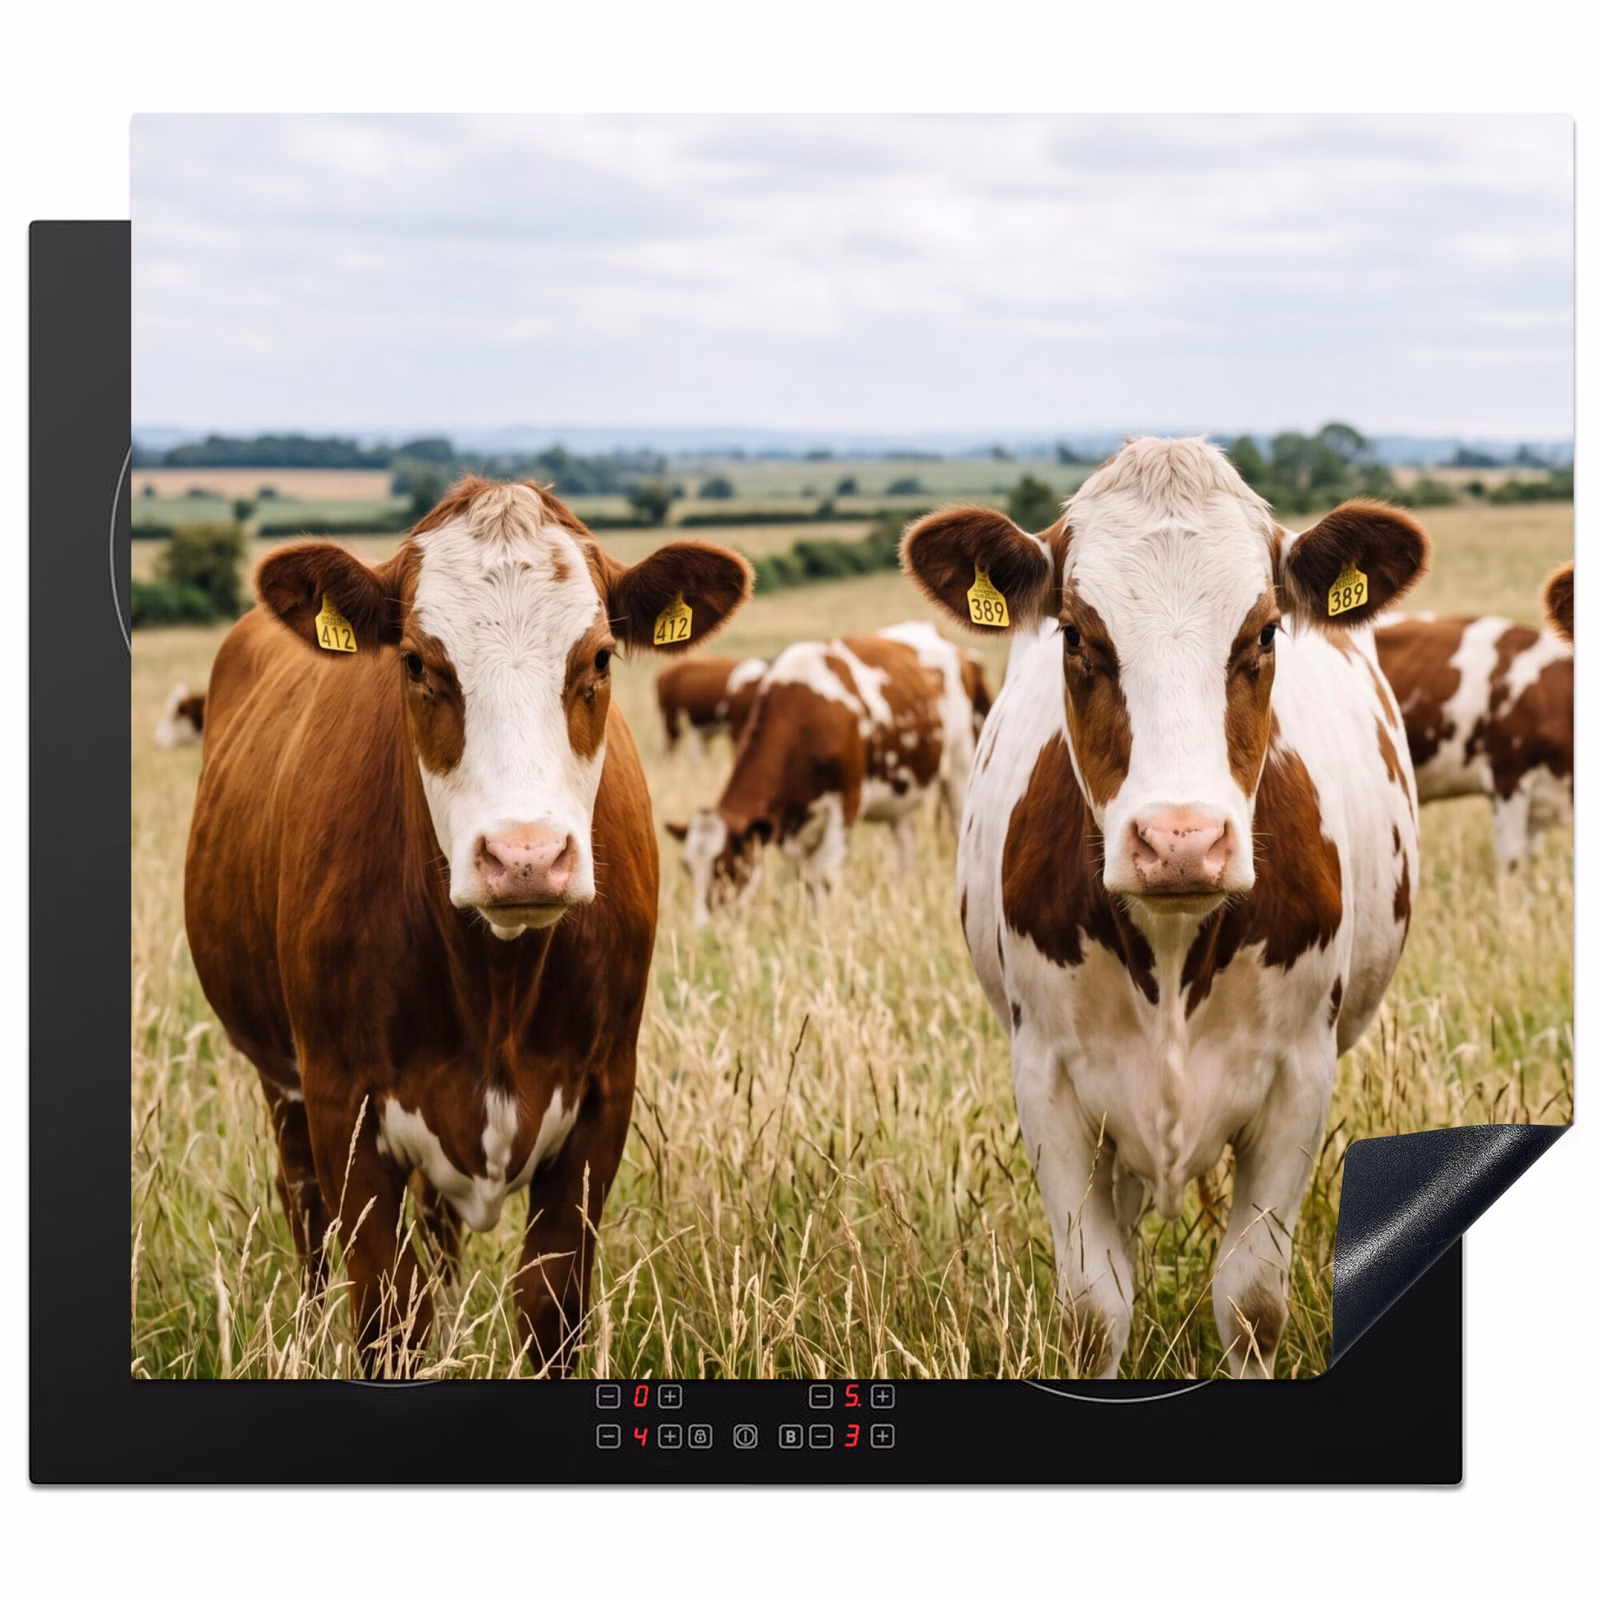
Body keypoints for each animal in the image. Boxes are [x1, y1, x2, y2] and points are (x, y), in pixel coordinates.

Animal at [183, 477, 751, 1373]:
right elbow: (386, 1311)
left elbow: (549, 1304)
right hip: (281, 1082)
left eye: (599, 658)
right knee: (306, 1216)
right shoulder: (341, 1102)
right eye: (417, 662)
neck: (495, 986)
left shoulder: (604, 1096)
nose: (525, 856)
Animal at [667, 621, 981, 926]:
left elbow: (824, 875)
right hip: (902, 793)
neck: (802, 717)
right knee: (905, 850)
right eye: (687, 867)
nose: (702, 930)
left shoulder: (847, 803)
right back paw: (902, 898)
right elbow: (808, 879)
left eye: (724, 866)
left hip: (959, 765)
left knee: (956, 830)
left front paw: (826, 927)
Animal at [902, 437, 1428, 1379]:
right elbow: (1093, 1310)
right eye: (1078, 634)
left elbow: (1252, 1303)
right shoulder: (1048, 1079)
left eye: (1263, 633)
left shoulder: (1300, 1074)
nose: (1181, 841)